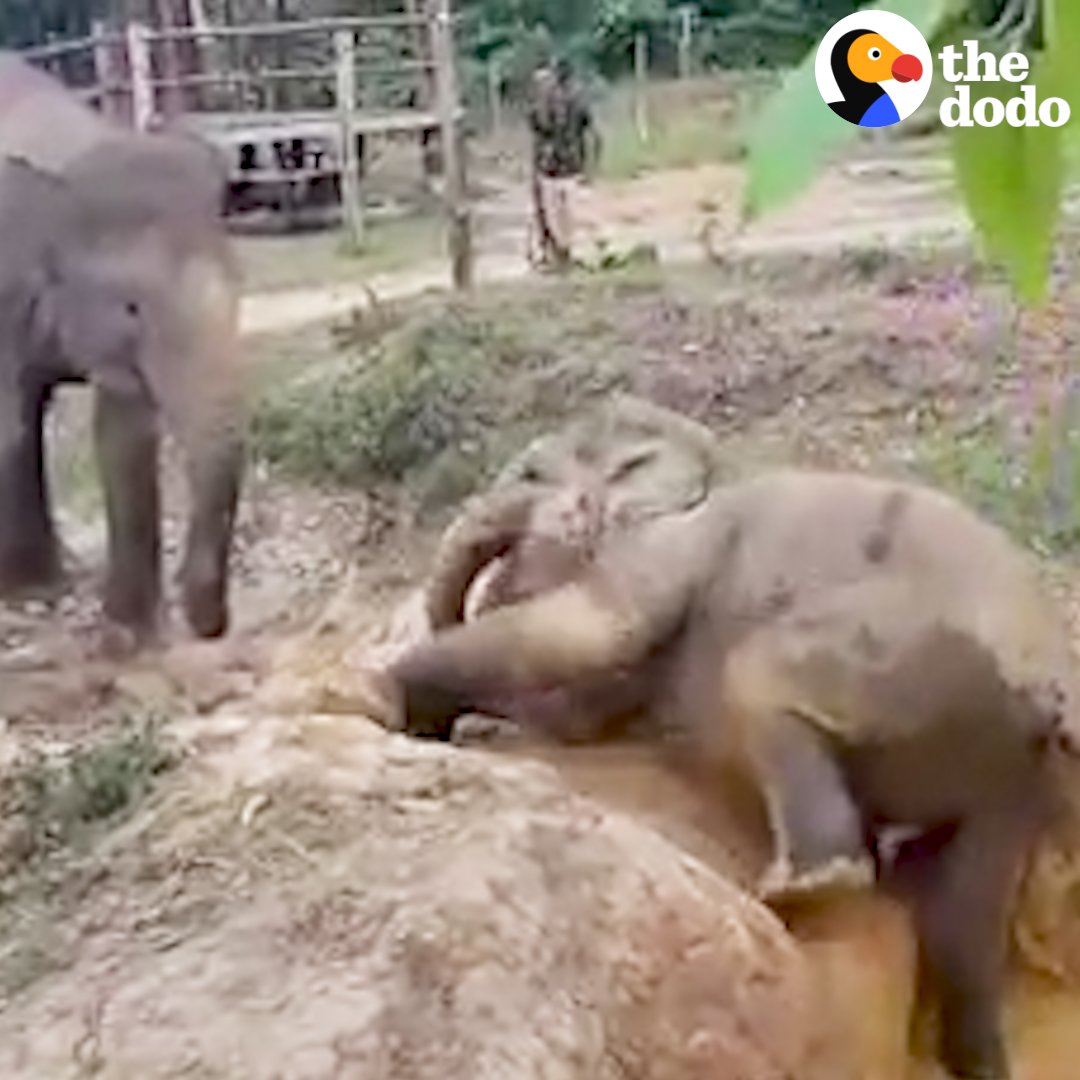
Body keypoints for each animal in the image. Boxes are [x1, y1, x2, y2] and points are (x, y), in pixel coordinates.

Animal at [0, 50, 245, 643]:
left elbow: (123, 434)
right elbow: (7, 423)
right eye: (132, 307)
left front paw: (127, 637)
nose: (209, 624)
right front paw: (29, 595)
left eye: (239, 286)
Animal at [378, 466, 1071, 1080]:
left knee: (760, 676)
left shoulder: (655, 567)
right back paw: (975, 1060)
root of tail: (1044, 682)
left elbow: (585, 642)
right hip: (1005, 769)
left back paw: (806, 884)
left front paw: (404, 703)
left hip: (905, 659)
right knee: (965, 910)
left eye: (520, 536)